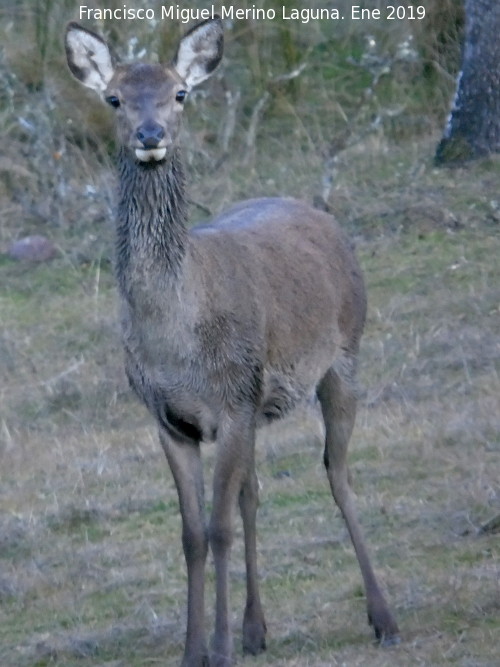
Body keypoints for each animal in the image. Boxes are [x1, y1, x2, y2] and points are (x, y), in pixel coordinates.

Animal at [65, 17, 398, 667]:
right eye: (113, 98)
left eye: (180, 94)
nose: (149, 135)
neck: (176, 338)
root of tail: (319, 213)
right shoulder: (171, 418)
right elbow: (193, 534)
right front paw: (195, 648)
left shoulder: (232, 400)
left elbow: (218, 529)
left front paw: (216, 650)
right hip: (262, 403)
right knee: (254, 494)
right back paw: (255, 628)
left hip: (345, 354)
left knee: (338, 475)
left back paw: (384, 617)